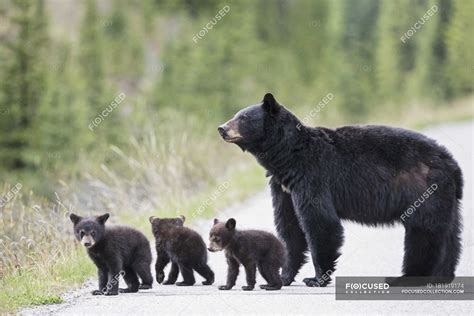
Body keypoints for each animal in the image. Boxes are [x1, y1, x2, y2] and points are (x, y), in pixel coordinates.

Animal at [218, 93, 462, 286]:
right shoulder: (283, 188)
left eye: (244, 118)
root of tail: (450, 162)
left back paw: (405, 278)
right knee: (450, 235)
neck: (288, 157)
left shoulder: (312, 176)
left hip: (423, 190)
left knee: (423, 233)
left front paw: (315, 278)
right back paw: (442, 275)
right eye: (237, 114)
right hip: (445, 198)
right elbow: (289, 228)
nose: (222, 128)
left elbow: (320, 222)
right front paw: (284, 276)